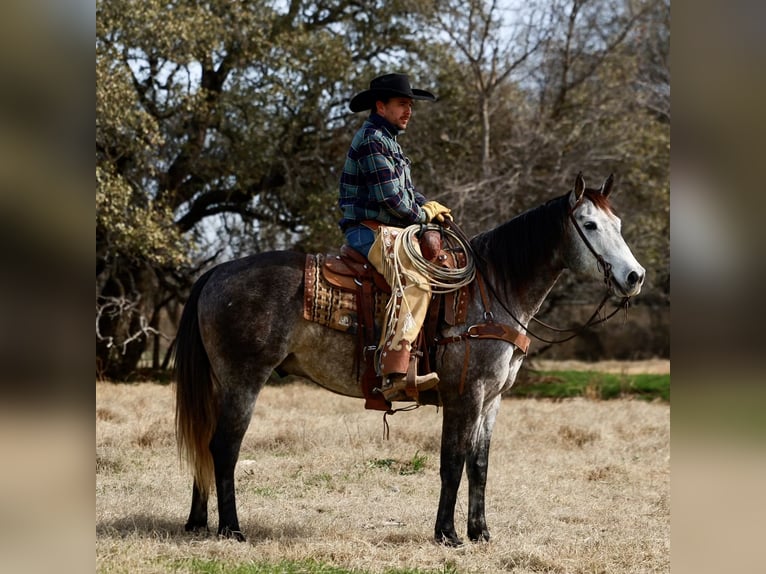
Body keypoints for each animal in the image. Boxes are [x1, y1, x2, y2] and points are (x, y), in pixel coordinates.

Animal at [173, 172, 645, 546]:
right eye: (589, 224)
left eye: (618, 224)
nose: (634, 277)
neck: (492, 292)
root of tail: (216, 272)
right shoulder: (465, 396)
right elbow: (452, 462)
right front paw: (448, 534)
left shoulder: (492, 399)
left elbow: (479, 465)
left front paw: (481, 533)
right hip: (244, 381)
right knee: (224, 447)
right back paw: (231, 529)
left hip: (221, 383)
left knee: (205, 442)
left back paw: (198, 522)